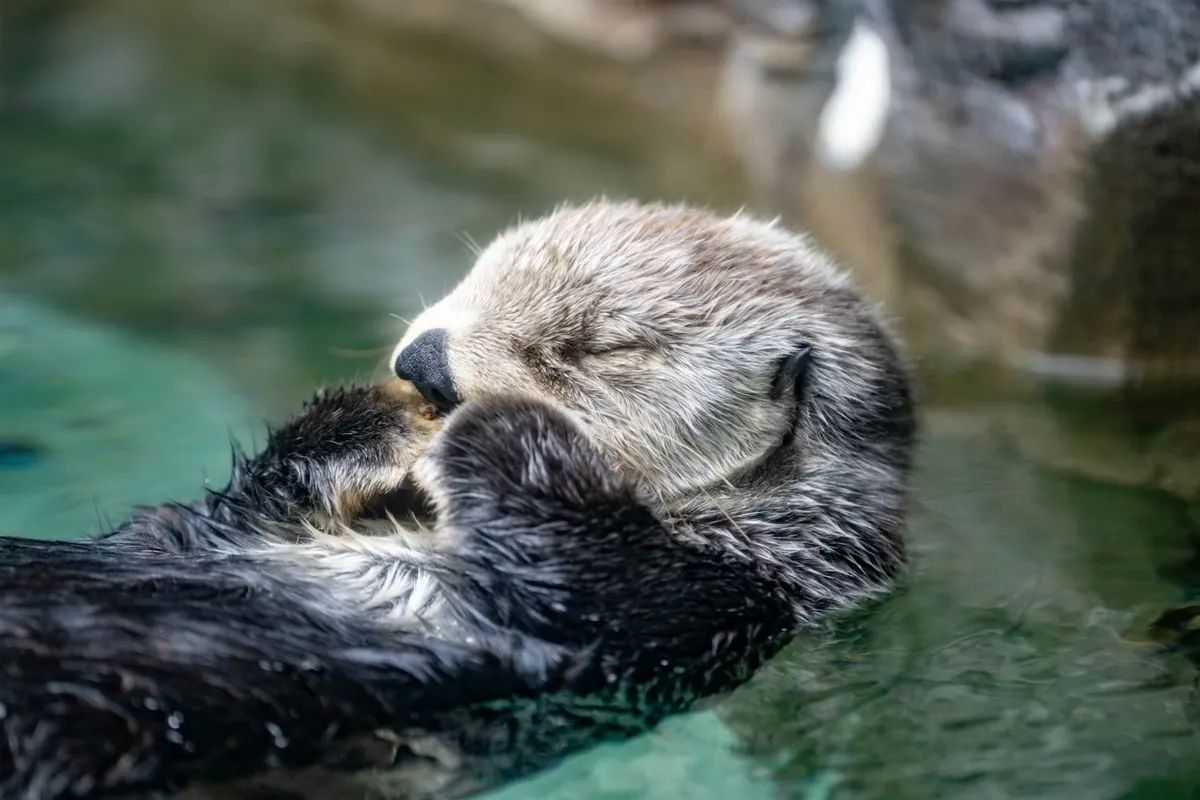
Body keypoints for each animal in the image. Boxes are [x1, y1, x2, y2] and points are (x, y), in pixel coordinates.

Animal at [0, 201, 914, 799]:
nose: (425, 364)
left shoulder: (708, 607)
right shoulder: (232, 526)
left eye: (597, 348)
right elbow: (229, 509)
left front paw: (491, 423)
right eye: (475, 274)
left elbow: (584, 571)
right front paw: (376, 423)